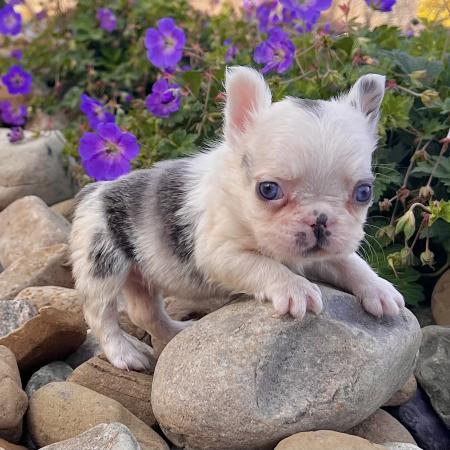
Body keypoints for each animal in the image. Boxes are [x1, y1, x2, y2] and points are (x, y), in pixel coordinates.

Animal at [70, 66, 405, 371]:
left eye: (364, 192)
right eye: (268, 189)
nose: (320, 219)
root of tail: (92, 190)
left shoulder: (322, 254)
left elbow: (350, 262)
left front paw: (379, 289)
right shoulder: (220, 254)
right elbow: (263, 264)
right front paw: (294, 288)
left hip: (140, 275)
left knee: (145, 312)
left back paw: (176, 331)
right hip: (103, 263)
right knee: (100, 314)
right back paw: (124, 354)